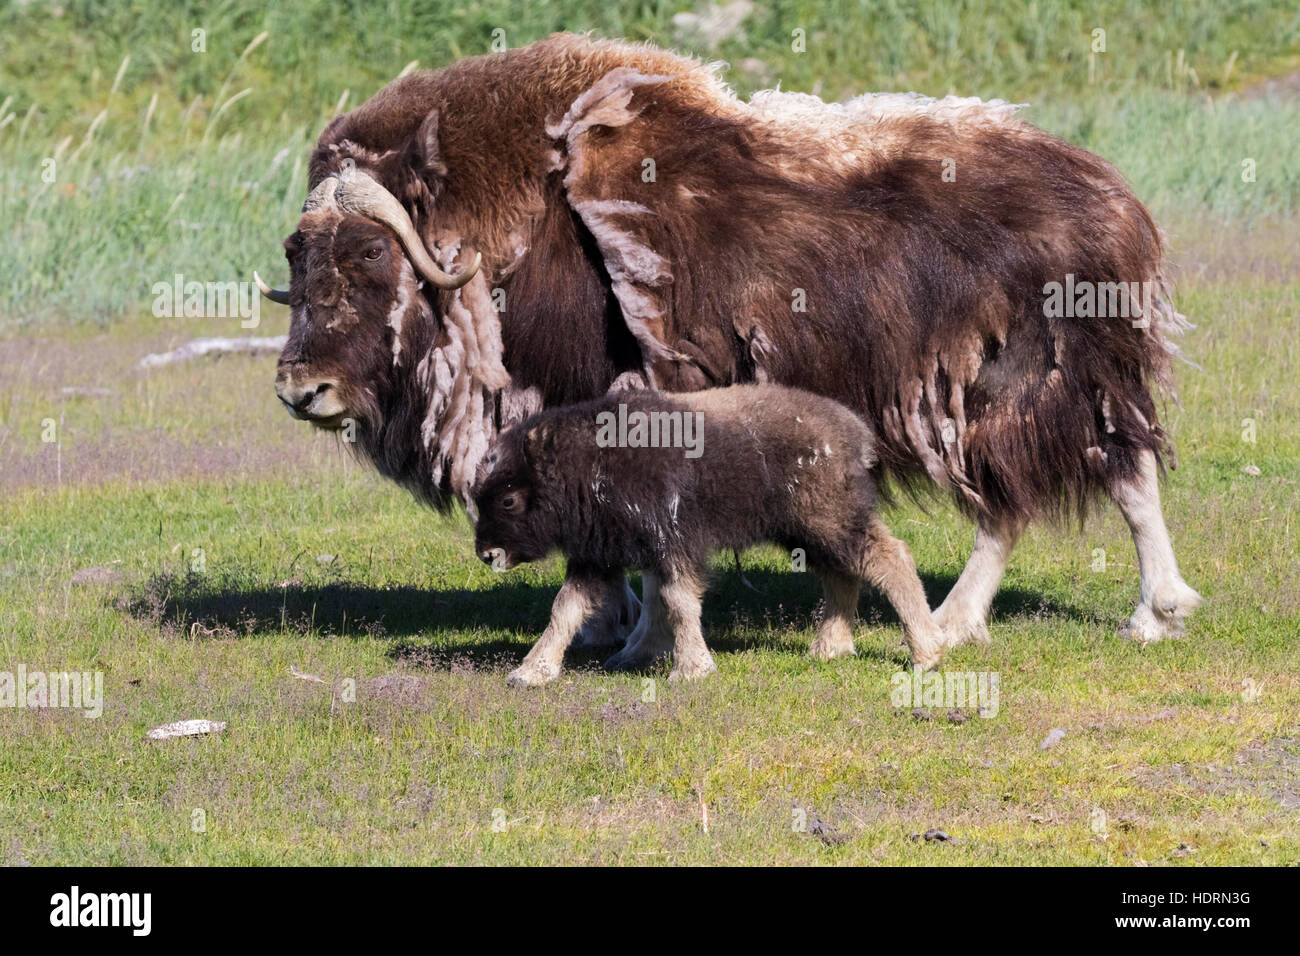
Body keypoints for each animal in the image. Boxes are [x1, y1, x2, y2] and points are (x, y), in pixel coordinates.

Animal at [473, 382, 941, 686]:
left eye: (509, 499)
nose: (487, 553)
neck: (588, 462)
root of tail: (854, 431)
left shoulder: (674, 542)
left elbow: (679, 602)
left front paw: (691, 670)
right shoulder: (597, 555)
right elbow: (565, 608)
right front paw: (530, 673)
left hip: (831, 519)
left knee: (890, 558)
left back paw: (925, 653)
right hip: (805, 533)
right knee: (841, 575)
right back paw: (829, 648)